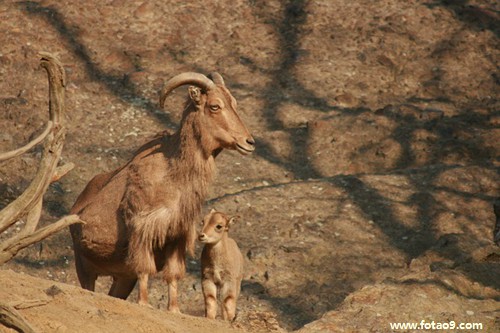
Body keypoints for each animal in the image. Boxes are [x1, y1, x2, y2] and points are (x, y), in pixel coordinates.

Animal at [69, 72, 254, 312]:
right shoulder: (142, 228)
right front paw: (145, 303)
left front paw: (174, 309)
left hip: (122, 277)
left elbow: (173, 274)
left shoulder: (175, 236)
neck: (172, 174)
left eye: (234, 103)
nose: (249, 142)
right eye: (215, 106)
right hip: (83, 265)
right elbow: (145, 268)